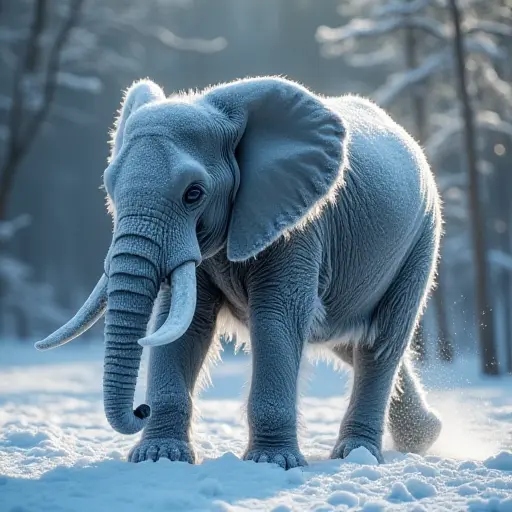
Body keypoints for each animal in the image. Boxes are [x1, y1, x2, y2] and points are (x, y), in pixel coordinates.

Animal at [37, 75, 444, 468]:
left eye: (194, 194)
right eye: (110, 187)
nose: (141, 409)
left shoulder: (298, 226)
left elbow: (275, 318)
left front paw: (272, 463)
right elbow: (183, 323)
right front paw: (159, 458)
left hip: (421, 240)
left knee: (380, 344)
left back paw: (358, 455)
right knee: (348, 342)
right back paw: (426, 436)